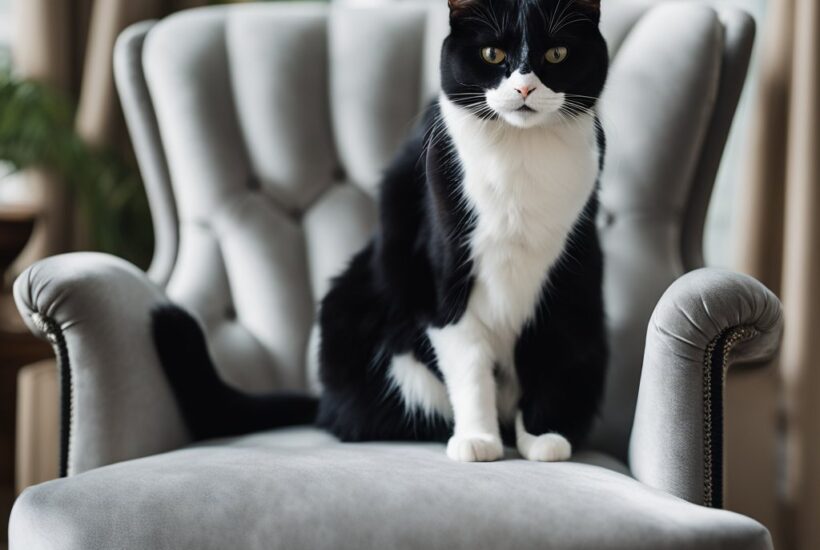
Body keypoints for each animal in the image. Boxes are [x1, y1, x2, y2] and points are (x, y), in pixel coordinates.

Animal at [152, 0, 608, 466]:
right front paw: (478, 438)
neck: (520, 155)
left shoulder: (567, 277)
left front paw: (544, 435)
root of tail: (323, 402)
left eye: (557, 54)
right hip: (354, 308)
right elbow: (468, 363)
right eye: (492, 54)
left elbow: (550, 349)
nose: (525, 89)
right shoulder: (440, 274)